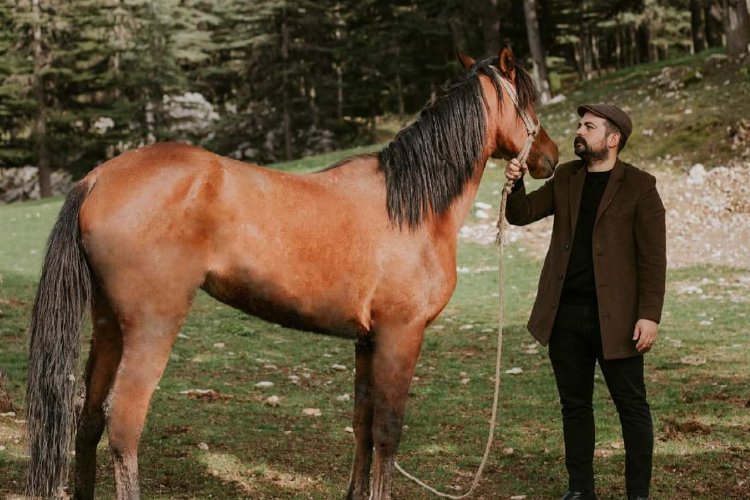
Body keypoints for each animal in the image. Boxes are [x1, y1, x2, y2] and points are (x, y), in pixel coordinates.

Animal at [25, 47, 560, 500]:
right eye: (529, 99)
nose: (550, 158)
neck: (413, 205)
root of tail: (99, 177)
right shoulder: (400, 336)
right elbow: (388, 432)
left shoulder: (367, 341)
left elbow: (363, 426)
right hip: (151, 327)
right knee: (123, 422)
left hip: (108, 327)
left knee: (87, 419)